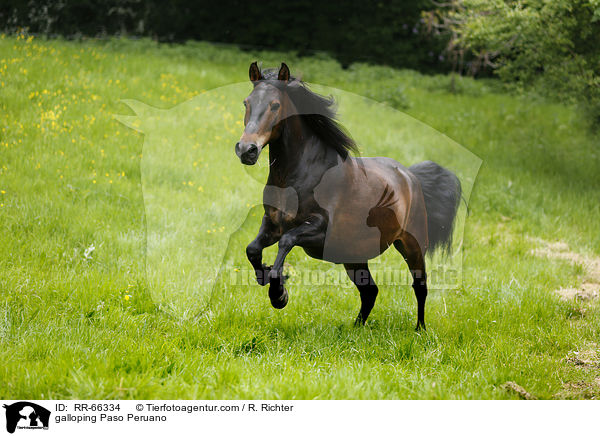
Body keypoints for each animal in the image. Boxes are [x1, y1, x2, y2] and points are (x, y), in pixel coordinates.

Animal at [234, 62, 460, 330]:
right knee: (370, 291)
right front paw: (268, 278)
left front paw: (279, 294)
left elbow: (287, 241)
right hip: (353, 256)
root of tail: (410, 176)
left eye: (275, 105)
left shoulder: (319, 230)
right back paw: (355, 329)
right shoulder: (272, 224)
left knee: (420, 286)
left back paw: (419, 330)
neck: (300, 176)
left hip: (411, 246)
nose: (247, 150)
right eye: (246, 102)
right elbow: (252, 249)